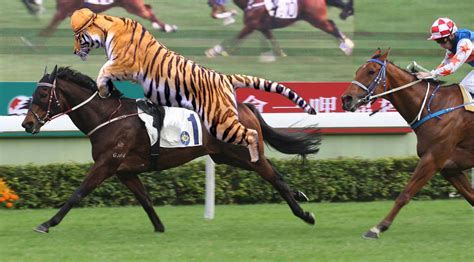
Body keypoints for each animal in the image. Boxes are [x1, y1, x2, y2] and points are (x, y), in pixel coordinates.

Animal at [20, 65, 320, 233]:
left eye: (43, 94)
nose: (26, 123)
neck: (108, 117)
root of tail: (244, 106)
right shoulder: (125, 171)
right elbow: (145, 199)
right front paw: (159, 227)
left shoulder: (107, 164)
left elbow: (77, 193)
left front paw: (47, 224)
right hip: (226, 156)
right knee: (274, 176)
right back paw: (299, 197)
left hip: (244, 155)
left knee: (275, 178)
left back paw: (304, 214)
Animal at [38, 0, 177, 36]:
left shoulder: (62, 12)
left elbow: (46, 31)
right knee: (149, 8)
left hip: (134, 6)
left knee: (149, 12)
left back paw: (168, 27)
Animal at [70, 8, 316, 163]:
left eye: (78, 37)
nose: (74, 51)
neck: (107, 28)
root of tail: (225, 77)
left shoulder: (124, 63)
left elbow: (103, 69)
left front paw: (103, 89)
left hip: (221, 123)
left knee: (252, 134)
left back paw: (255, 158)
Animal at [206, 0, 354, 59]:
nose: (209, 3)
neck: (252, 2)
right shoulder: (262, 26)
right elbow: (271, 38)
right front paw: (281, 54)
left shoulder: (251, 25)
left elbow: (235, 38)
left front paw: (214, 51)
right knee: (332, 26)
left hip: (317, 20)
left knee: (332, 27)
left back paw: (347, 46)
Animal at [342, 49, 472, 239]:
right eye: (358, 70)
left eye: (371, 71)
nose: (346, 99)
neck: (433, 107)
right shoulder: (450, 167)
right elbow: (471, 196)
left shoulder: (432, 159)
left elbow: (405, 194)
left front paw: (377, 228)